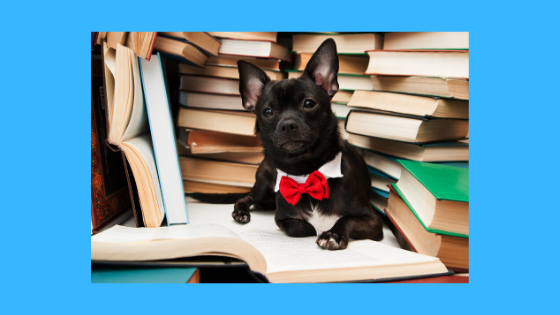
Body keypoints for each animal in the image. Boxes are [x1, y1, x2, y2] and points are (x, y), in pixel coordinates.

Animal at [187, 40, 380, 252]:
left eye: (309, 103)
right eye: (267, 112)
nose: (287, 124)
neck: (305, 172)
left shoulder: (373, 220)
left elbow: (346, 219)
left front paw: (333, 234)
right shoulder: (281, 219)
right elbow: (301, 226)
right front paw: (317, 227)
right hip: (264, 184)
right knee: (247, 198)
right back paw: (241, 213)